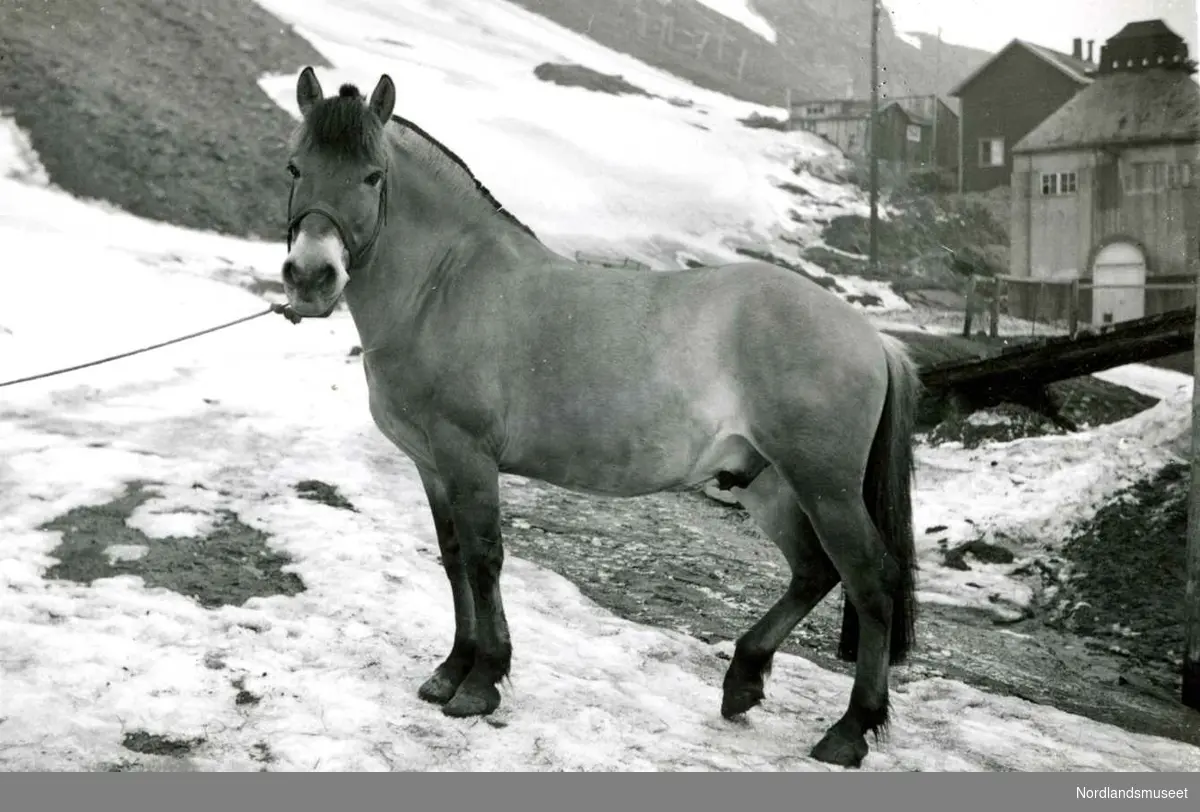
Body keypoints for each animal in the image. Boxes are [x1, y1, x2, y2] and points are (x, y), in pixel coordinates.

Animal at [278, 68, 916, 767]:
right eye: (295, 166)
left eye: (373, 175)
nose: (311, 275)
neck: (445, 286)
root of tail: (872, 336)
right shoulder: (431, 465)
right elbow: (453, 559)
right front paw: (452, 669)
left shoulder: (468, 457)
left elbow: (484, 559)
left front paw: (482, 681)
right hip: (767, 481)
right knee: (814, 571)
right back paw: (743, 682)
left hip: (824, 486)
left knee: (872, 580)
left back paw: (850, 730)